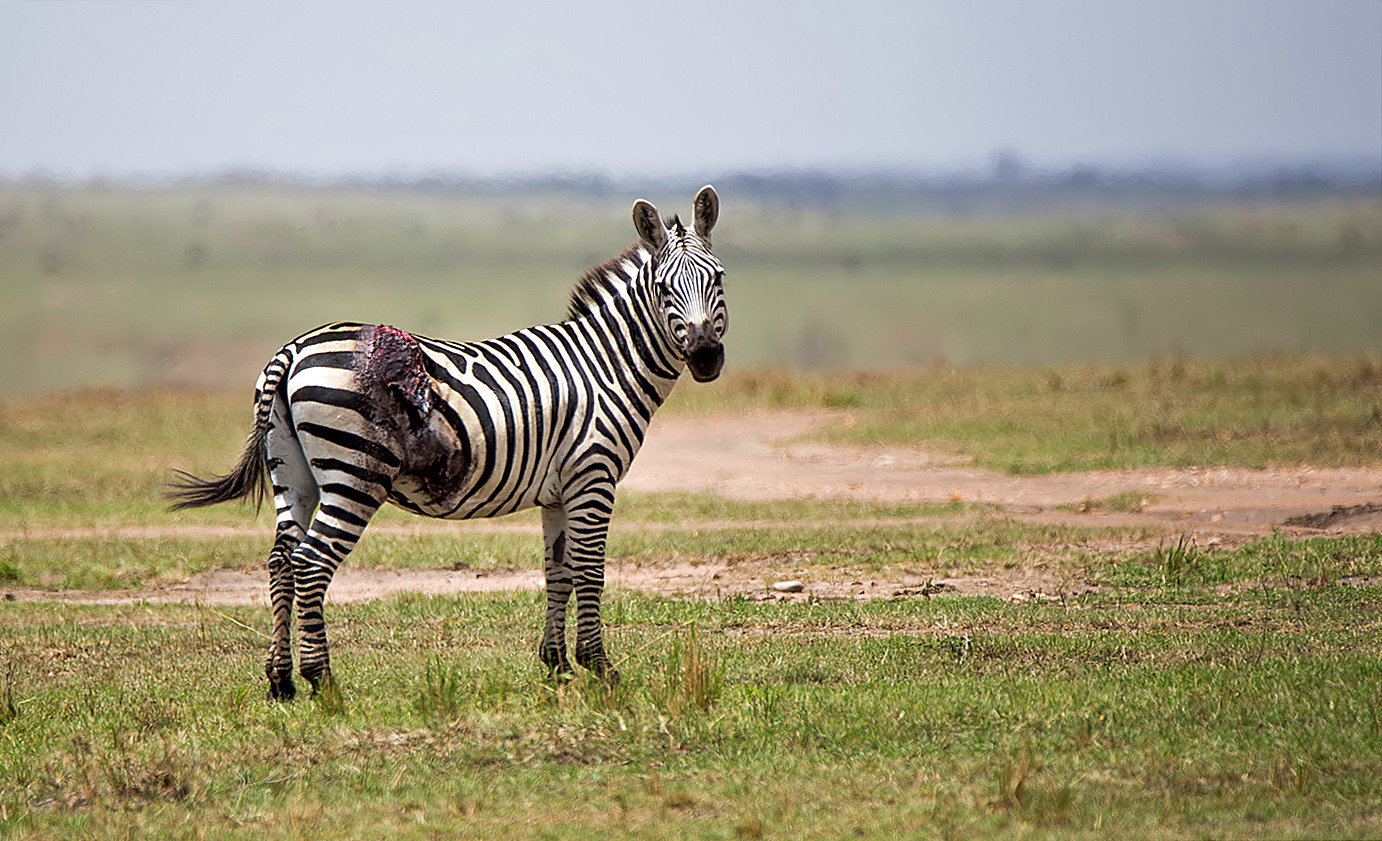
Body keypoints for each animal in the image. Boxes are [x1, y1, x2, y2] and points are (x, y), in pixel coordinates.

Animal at [171, 186, 729, 698]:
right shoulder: (593, 476)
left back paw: (280, 680)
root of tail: (291, 350)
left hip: (292, 470)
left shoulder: (559, 490)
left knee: (282, 560)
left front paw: (557, 667)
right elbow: (590, 572)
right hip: (356, 472)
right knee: (312, 563)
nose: (706, 356)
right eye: (664, 288)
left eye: (719, 277)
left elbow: (559, 571)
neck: (605, 364)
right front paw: (599, 668)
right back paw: (323, 683)